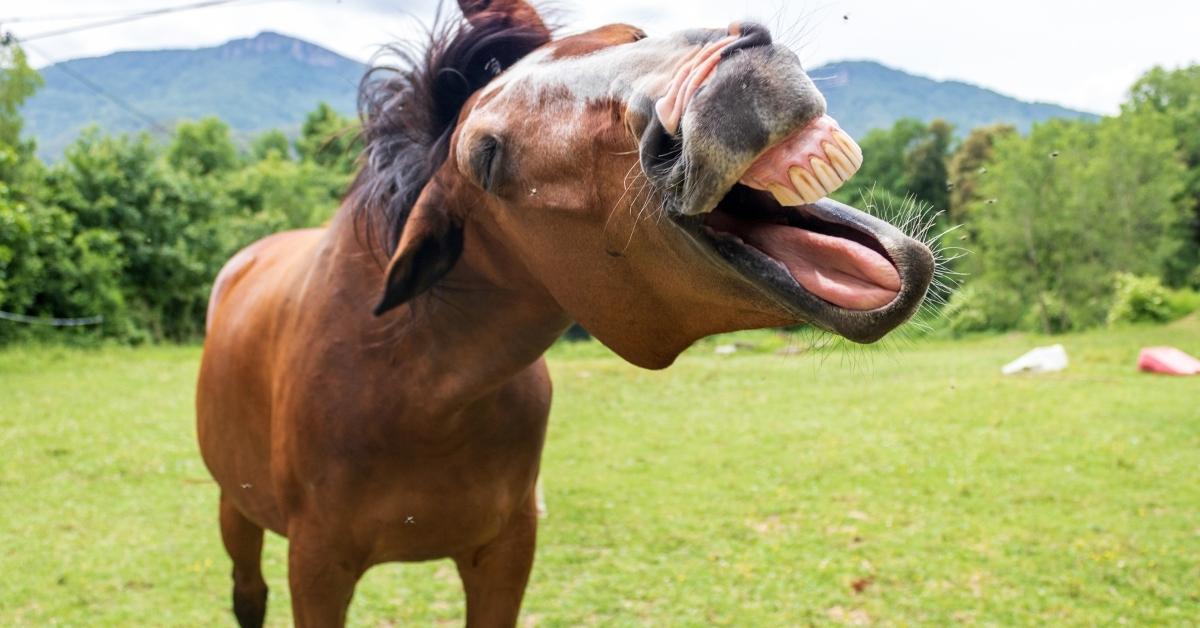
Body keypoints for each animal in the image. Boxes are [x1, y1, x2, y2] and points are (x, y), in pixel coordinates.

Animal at [196, 1, 934, 625]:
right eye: (487, 157)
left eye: (630, 35)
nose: (726, 84)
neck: (409, 387)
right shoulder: (317, 567)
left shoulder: (505, 553)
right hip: (236, 507)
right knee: (247, 592)